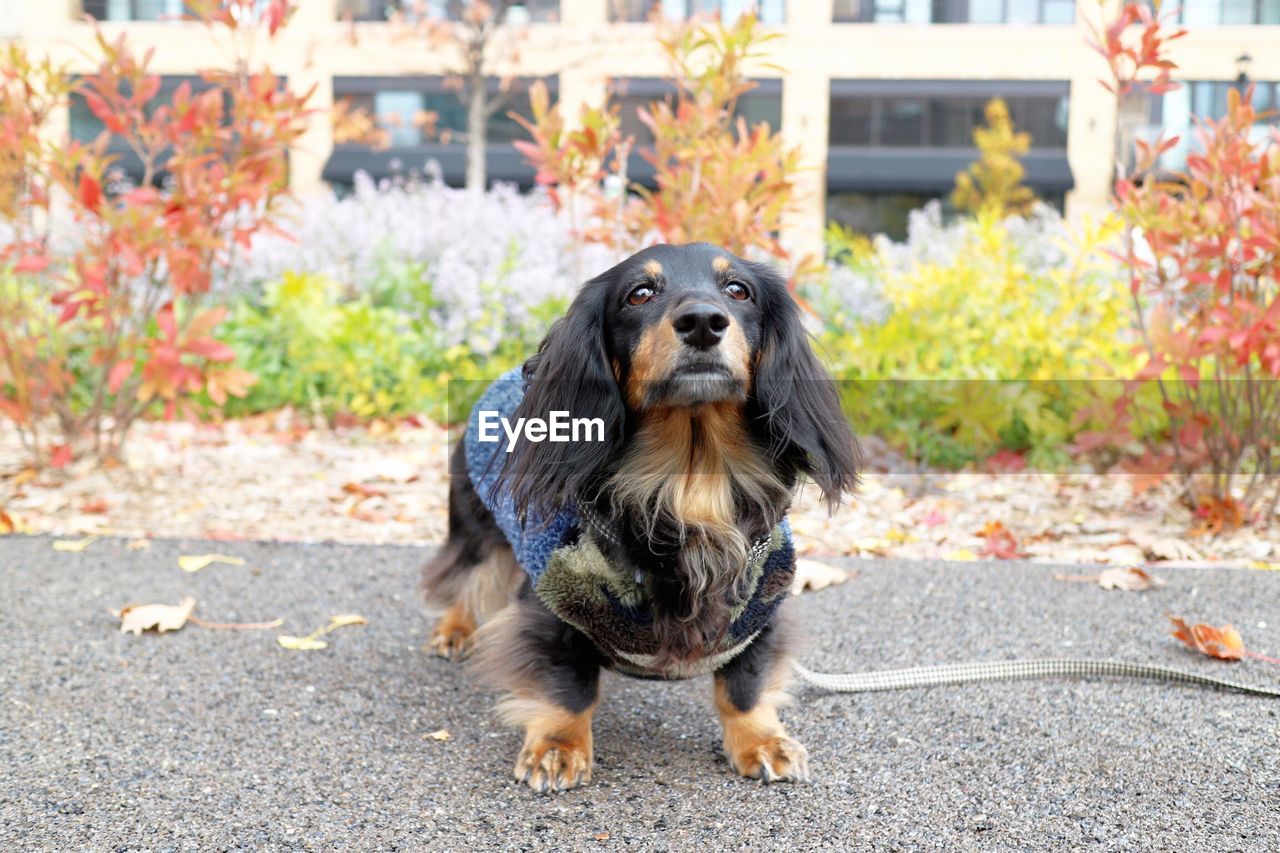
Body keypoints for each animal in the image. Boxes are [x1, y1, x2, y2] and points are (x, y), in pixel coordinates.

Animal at [422, 240, 860, 788]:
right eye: (640, 294)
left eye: (738, 290)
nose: (703, 322)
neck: (688, 484)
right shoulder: (552, 603)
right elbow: (568, 687)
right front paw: (558, 747)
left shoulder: (762, 606)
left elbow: (746, 685)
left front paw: (761, 740)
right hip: (476, 524)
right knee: (465, 576)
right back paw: (453, 631)